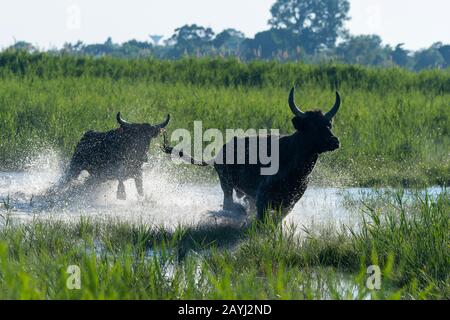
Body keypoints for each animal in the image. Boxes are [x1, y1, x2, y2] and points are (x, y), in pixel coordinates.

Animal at [162, 89, 342, 221]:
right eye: (312, 126)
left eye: (328, 124)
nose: (334, 141)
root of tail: (219, 153)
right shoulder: (262, 198)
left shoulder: (290, 202)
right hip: (226, 184)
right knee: (228, 205)